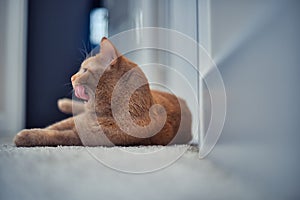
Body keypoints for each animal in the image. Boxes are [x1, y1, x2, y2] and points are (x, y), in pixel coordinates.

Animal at [13, 38, 192, 147]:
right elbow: (54, 126)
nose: (72, 77)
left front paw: (25, 136)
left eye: (84, 70)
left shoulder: (79, 136)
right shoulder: (77, 121)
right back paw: (63, 103)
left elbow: (55, 135)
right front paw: (28, 132)